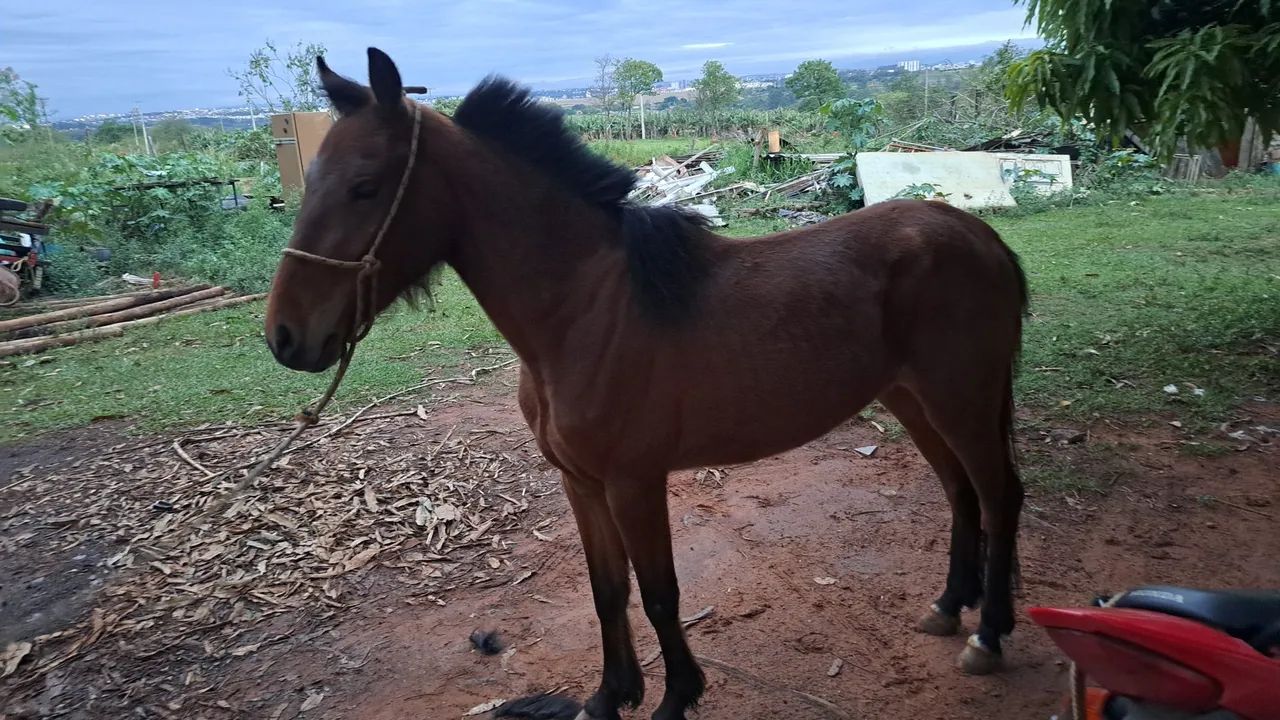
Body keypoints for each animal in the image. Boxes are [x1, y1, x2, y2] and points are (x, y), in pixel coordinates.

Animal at [264, 48, 1028, 720]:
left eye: (365, 186)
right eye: (314, 178)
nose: (285, 336)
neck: (586, 309)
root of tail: (981, 238)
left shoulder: (635, 481)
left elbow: (661, 592)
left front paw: (675, 697)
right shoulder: (581, 483)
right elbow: (608, 590)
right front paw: (610, 696)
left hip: (960, 399)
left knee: (998, 496)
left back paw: (989, 637)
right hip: (913, 400)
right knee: (959, 492)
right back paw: (947, 608)